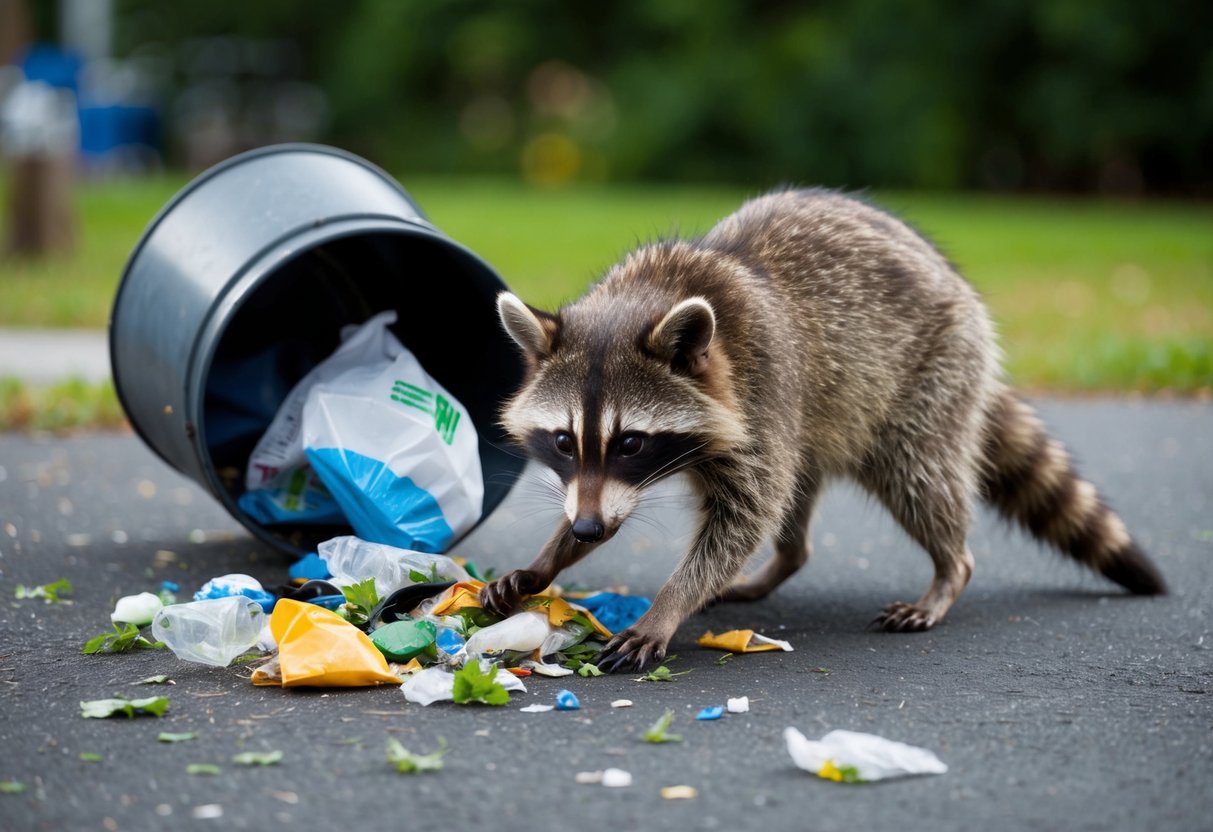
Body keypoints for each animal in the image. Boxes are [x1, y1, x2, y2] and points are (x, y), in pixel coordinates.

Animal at [479, 188, 1166, 672]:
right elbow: (657, 505)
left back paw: (950, 570)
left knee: (920, 478)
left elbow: (744, 516)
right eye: (564, 441)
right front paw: (548, 559)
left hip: (934, 374)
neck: (652, 291)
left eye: (630, 442)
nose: (586, 529)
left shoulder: (762, 390)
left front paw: (669, 604)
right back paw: (786, 560)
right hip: (817, 421)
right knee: (798, 493)